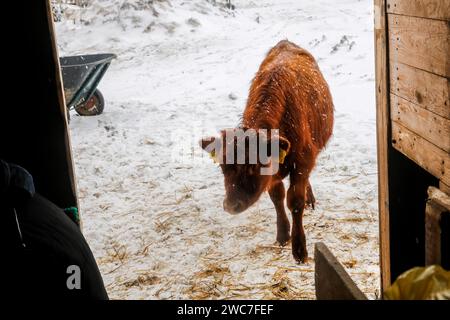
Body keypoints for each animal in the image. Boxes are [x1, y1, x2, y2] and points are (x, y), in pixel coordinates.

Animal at [200, 39, 334, 262]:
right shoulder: (274, 175)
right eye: (223, 167)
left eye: (254, 165)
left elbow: (295, 201)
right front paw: (282, 234)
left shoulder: (302, 163)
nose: (231, 206)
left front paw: (299, 248)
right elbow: (277, 197)